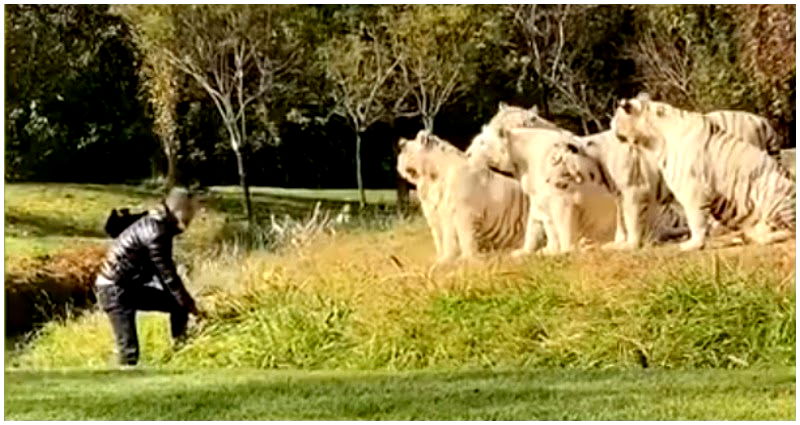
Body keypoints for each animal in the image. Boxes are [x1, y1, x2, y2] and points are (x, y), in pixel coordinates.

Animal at [396, 129, 536, 262]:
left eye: (403, 147)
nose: (400, 143)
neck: (431, 179)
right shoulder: (435, 214)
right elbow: (440, 239)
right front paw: (440, 259)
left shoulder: (464, 213)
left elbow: (462, 237)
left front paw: (464, 259)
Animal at [612, 96, 792, 248]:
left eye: (615, 118)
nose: (611, 127)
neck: (654, 139)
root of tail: (765, 123)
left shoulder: (691, 187)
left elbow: (694, 217)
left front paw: (692, 244)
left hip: (770, 188)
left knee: (787, 228)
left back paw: (761, 235)